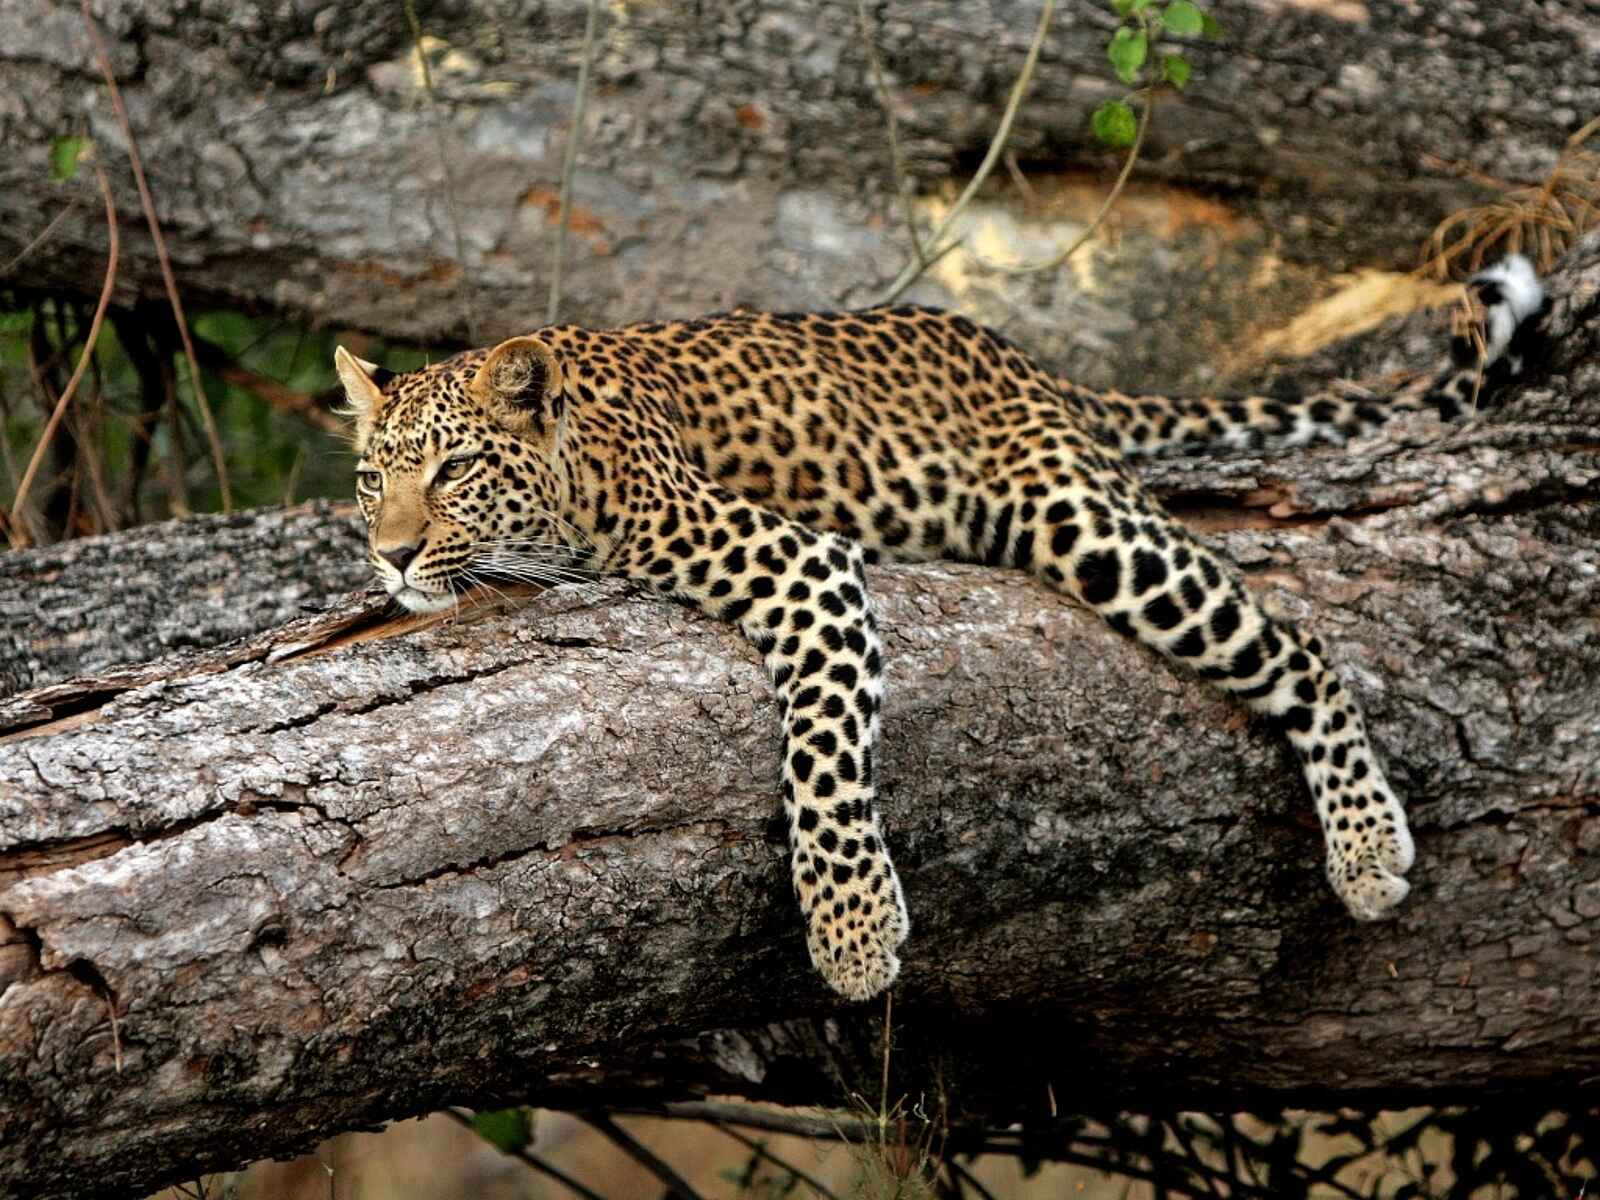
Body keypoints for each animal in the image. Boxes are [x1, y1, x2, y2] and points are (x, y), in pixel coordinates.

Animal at [335, 255, 1547, 1002]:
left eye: (454, 471)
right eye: (370, 476)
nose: (390, 555)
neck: (578, 473)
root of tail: (1024, 359)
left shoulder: (803, 564)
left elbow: (822, 763)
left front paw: (853, 933)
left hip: (1082, 522)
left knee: (1298, 645)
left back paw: (1367, 844)